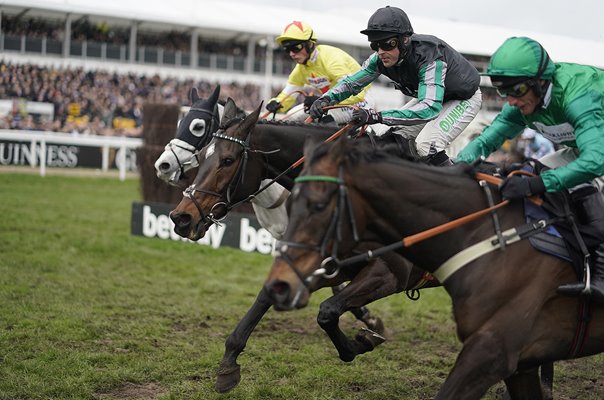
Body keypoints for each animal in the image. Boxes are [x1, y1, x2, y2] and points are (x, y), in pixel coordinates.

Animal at [170, 102, 438, 394]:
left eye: (228, 160)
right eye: (202, 155)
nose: (181, 217)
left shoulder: (391, 273)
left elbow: (327, 311)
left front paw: (365, 338)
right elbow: (273, 295)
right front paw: (228, 365)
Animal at [266, 135, 604, 400]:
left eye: (319, 205)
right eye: (290, 205)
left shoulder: (389, 275)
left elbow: (330, 308)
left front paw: (363, 337)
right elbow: (322, 308)